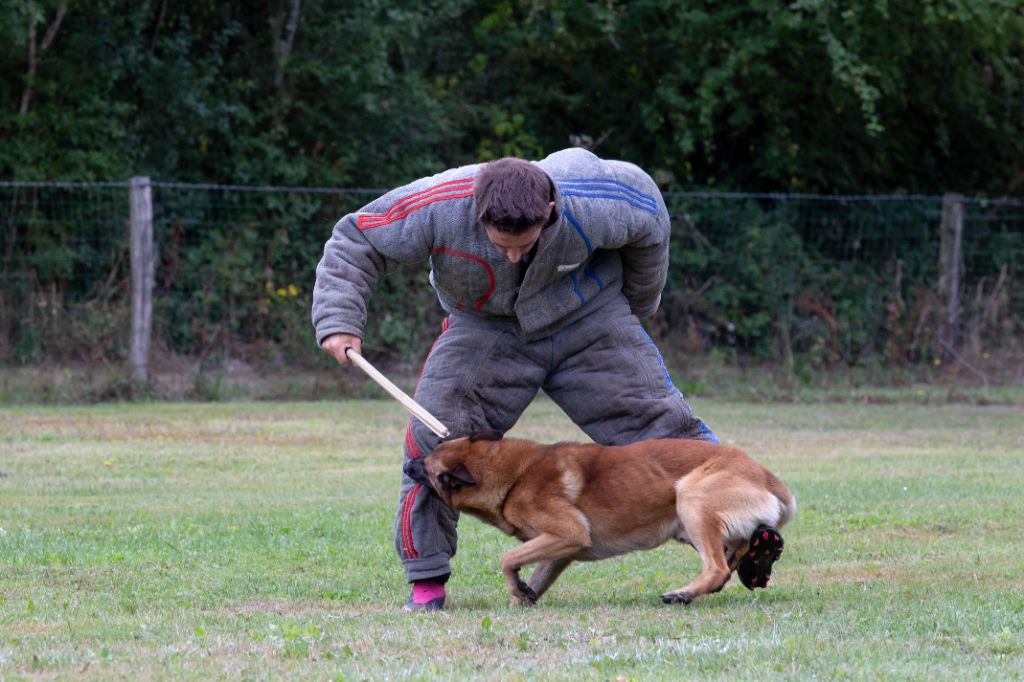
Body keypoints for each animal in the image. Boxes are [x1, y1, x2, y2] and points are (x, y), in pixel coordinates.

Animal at [403, 432, 794, 602]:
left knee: (716, 568)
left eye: (427, 463)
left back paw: (682, 594)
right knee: (735, 552)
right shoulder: (560, 550)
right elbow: (534, 577)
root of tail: (766, 476)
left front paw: (516, 586)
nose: (406, 464)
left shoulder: (569, 532)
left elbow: (507, 558)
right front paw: (523, 597)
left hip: (691, 499)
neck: (514, 475)